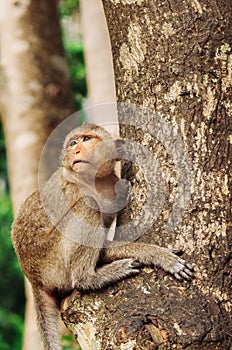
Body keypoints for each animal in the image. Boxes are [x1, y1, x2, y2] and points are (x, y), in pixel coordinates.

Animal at [11, 123, 193, 350]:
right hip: (52, 262)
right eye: (73, 143)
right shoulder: (73, 191)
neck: (94, 181)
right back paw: (90, 278)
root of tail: (33, 278)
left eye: (87, 139)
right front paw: (159, 255)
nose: (76, 150)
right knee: (88, 206)